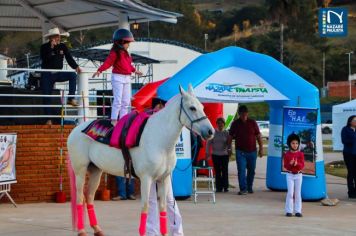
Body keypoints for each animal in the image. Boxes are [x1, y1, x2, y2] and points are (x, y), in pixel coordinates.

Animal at [67, 85, 214, 236]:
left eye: (202, 106)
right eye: (192, 108)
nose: (210, 131)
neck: (159, 138)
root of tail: (75, 130)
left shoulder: (164, 178)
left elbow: (163, 208)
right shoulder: (146, 178)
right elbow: (145, 207)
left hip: (96, 171)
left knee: (89, 196)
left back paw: (97, 229)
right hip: (80, 171)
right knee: (80, 197)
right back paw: (81, 230)